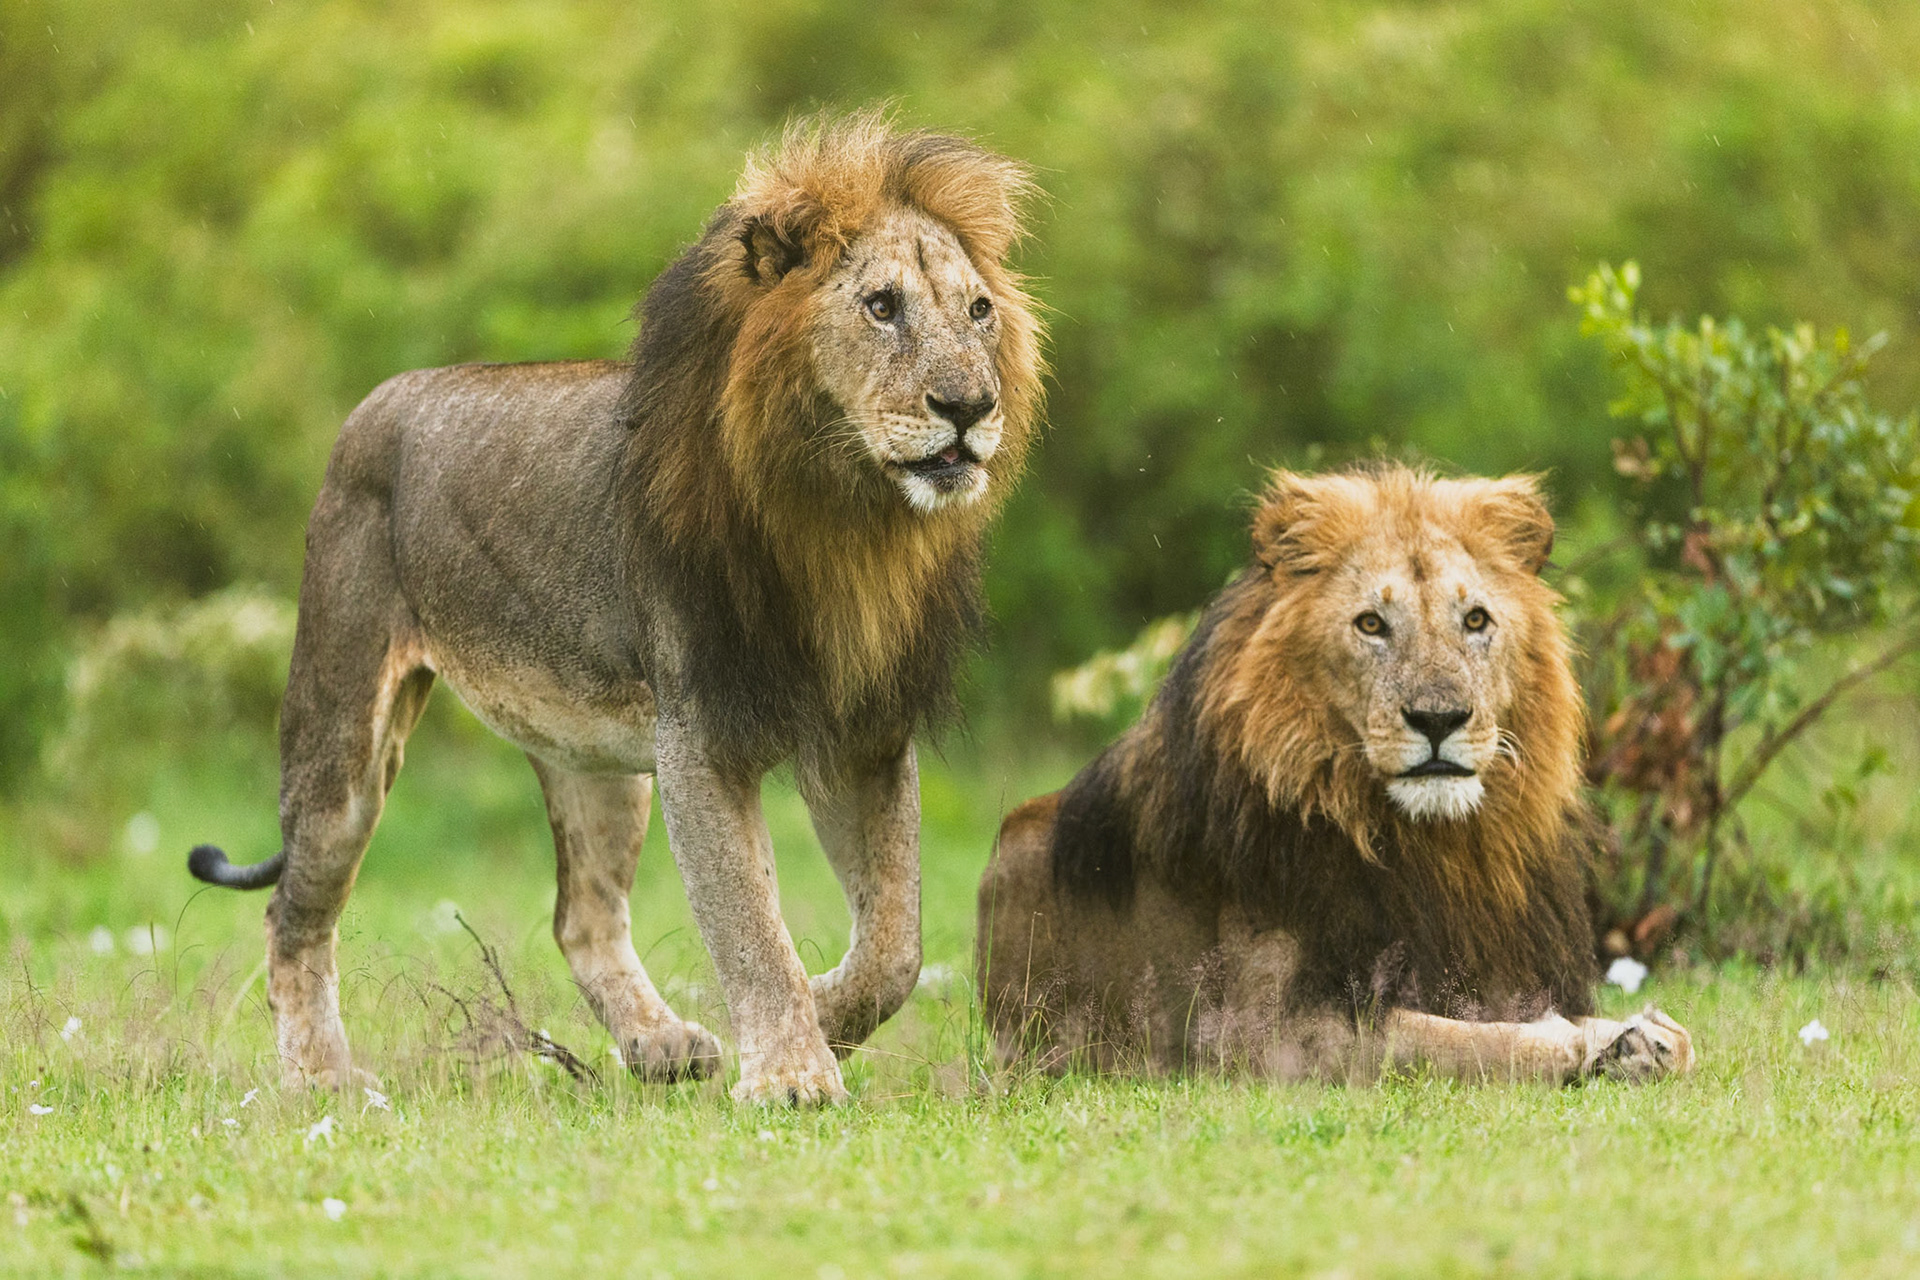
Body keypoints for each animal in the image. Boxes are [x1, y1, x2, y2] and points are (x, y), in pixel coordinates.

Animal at [186, 113, 1044, 1104]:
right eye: (880, 306)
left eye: (978, 311)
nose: (971, 407)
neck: (843, 518)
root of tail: (380, 396)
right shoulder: (701, 733)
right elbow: (750, 924)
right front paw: (793, 1073)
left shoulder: (861, 732)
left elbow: (895, 944)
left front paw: (824, 1016)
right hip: (343, 731)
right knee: (295, 912)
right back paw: (321, 1078)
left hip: (592, 756)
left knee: (582, 916)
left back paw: (661, 1045)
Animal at [978, 466, 1694, 1084]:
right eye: (1371, 624)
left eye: (1476, 620)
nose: (1439, 718)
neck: (1434, 850)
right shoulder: (1261, 1034)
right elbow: (1457, 1041)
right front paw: (1586, 1044)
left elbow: (1674, 1039)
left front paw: (1639, 1039)